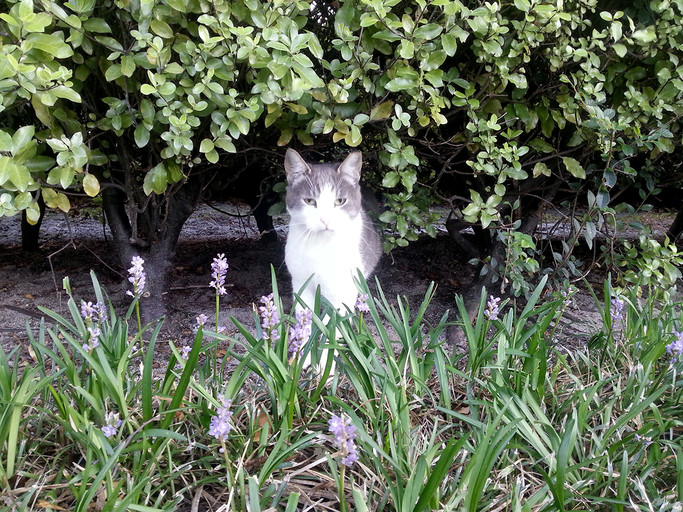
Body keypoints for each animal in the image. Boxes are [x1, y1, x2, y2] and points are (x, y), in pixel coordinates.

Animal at [282, 150, 380, 362]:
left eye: (339, 201)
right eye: (310, 201)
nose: (325, 219)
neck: (320, 246)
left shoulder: (340, 293)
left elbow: (330, 330)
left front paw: (324, 367)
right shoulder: (301, 286)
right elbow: (306, 324)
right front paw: (302, 361)